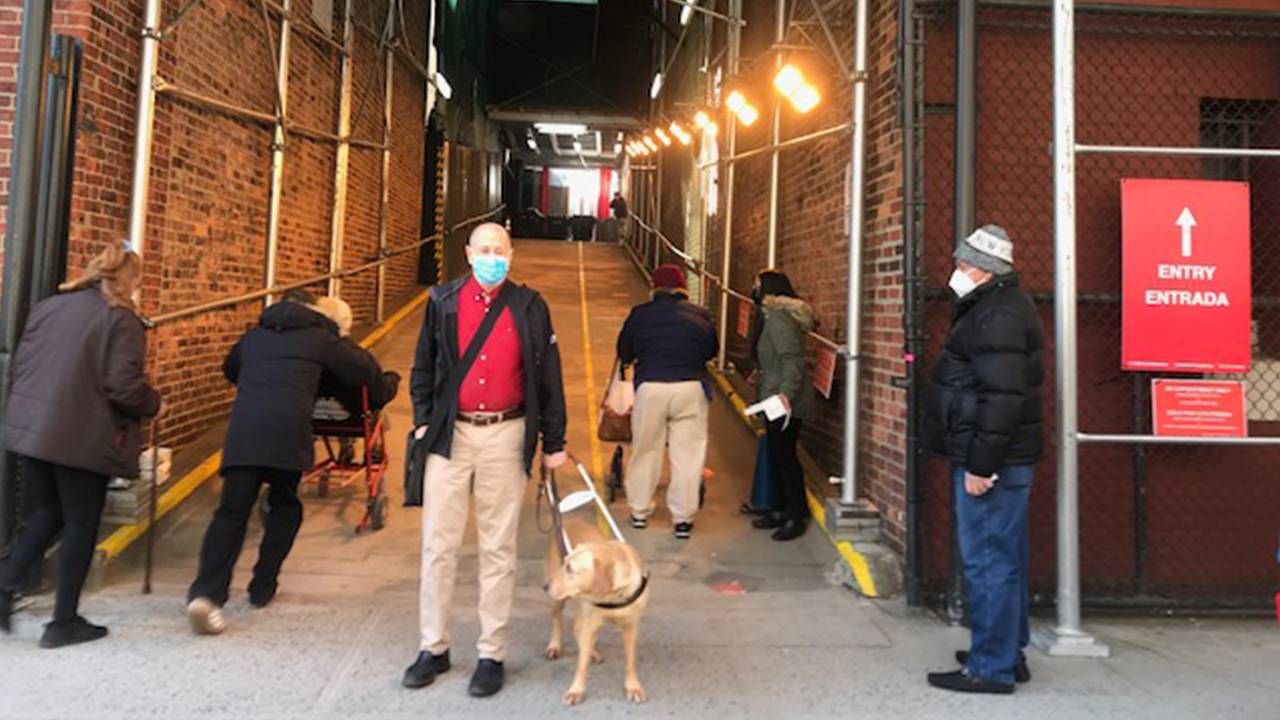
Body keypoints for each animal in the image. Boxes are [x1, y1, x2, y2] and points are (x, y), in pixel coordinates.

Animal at [547, 512, 655, 702]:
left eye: (570, 569)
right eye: (565, 564)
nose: (546, 586)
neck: (614, 597)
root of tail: (569, 519)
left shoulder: (631, 627)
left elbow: (631, 661)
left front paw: (633, 686)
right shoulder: (590, 622)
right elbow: (581, 665)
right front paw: (576, 690)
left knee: (576, 627)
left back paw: (592, 651)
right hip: (559, 602)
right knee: (558, 621)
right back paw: (555, 646)